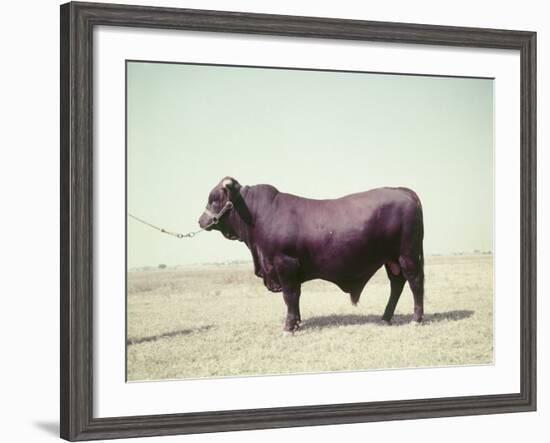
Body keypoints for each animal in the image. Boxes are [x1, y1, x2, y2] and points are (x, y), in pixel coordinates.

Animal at [199, 177, 426, 332]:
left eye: (215, 199)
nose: (201, 221)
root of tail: (402, 191)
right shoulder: (292, 269)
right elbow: (296, 296)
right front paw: (297, 322)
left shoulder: (285, 263)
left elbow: (289, 295)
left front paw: (288, 327)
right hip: (391, 259)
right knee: (397, 284)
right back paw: (385, 317)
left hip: (407, 254)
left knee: (415, 281)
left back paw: (416, 319)